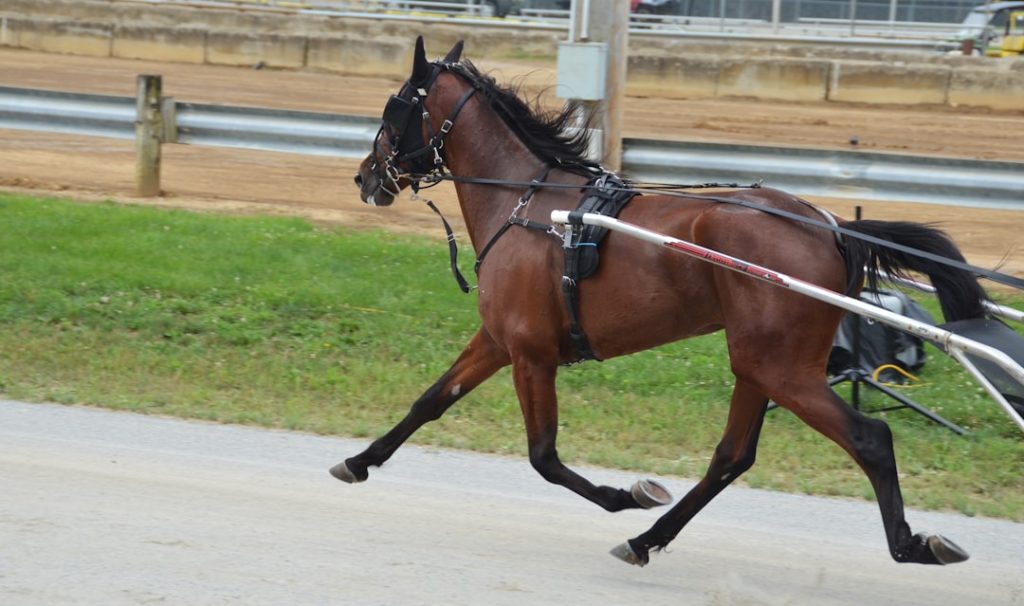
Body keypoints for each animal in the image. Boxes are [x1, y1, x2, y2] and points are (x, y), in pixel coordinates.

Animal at [338, 36, 987, 567]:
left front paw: (624, 494)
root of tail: (831, 227)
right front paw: (359, 460)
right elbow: (430, 400)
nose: (366, 176)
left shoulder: (530, 353)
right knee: (732, 456)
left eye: (395, 108)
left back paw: (909, 544)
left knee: (869, 439)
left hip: (781, 366)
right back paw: (648, 539)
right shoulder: (499, 340)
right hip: (758, 363)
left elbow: (544, 456)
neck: (527, 204)